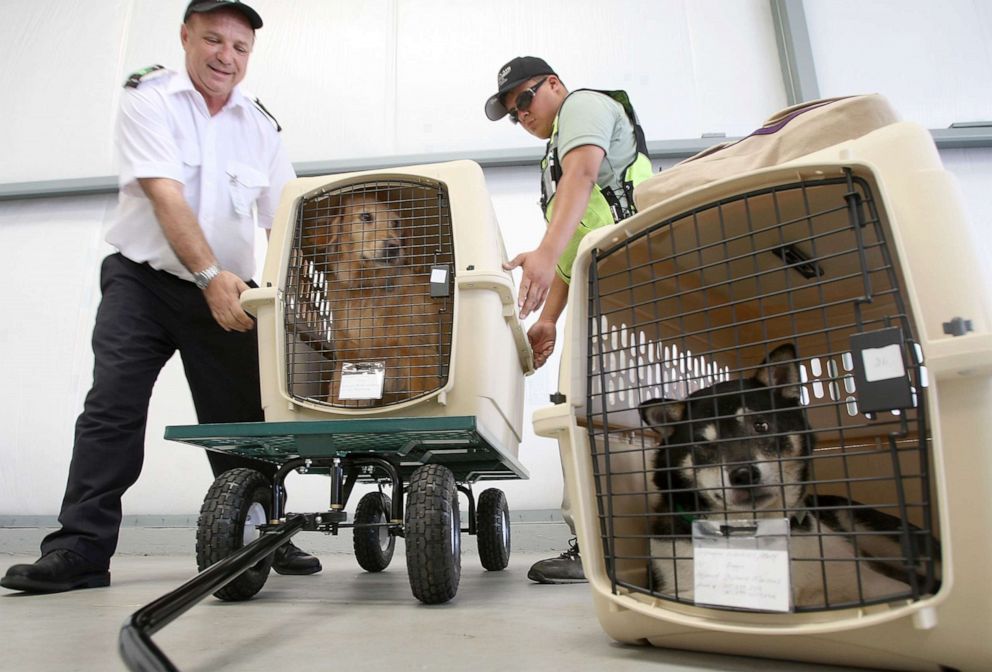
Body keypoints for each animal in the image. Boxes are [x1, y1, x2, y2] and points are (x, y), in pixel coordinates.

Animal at [302, 192, 442, 406]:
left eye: (396, 223)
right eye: (366, 216)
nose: (394, 248)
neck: (366, 288)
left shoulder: (420, 355)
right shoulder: (348, 361)